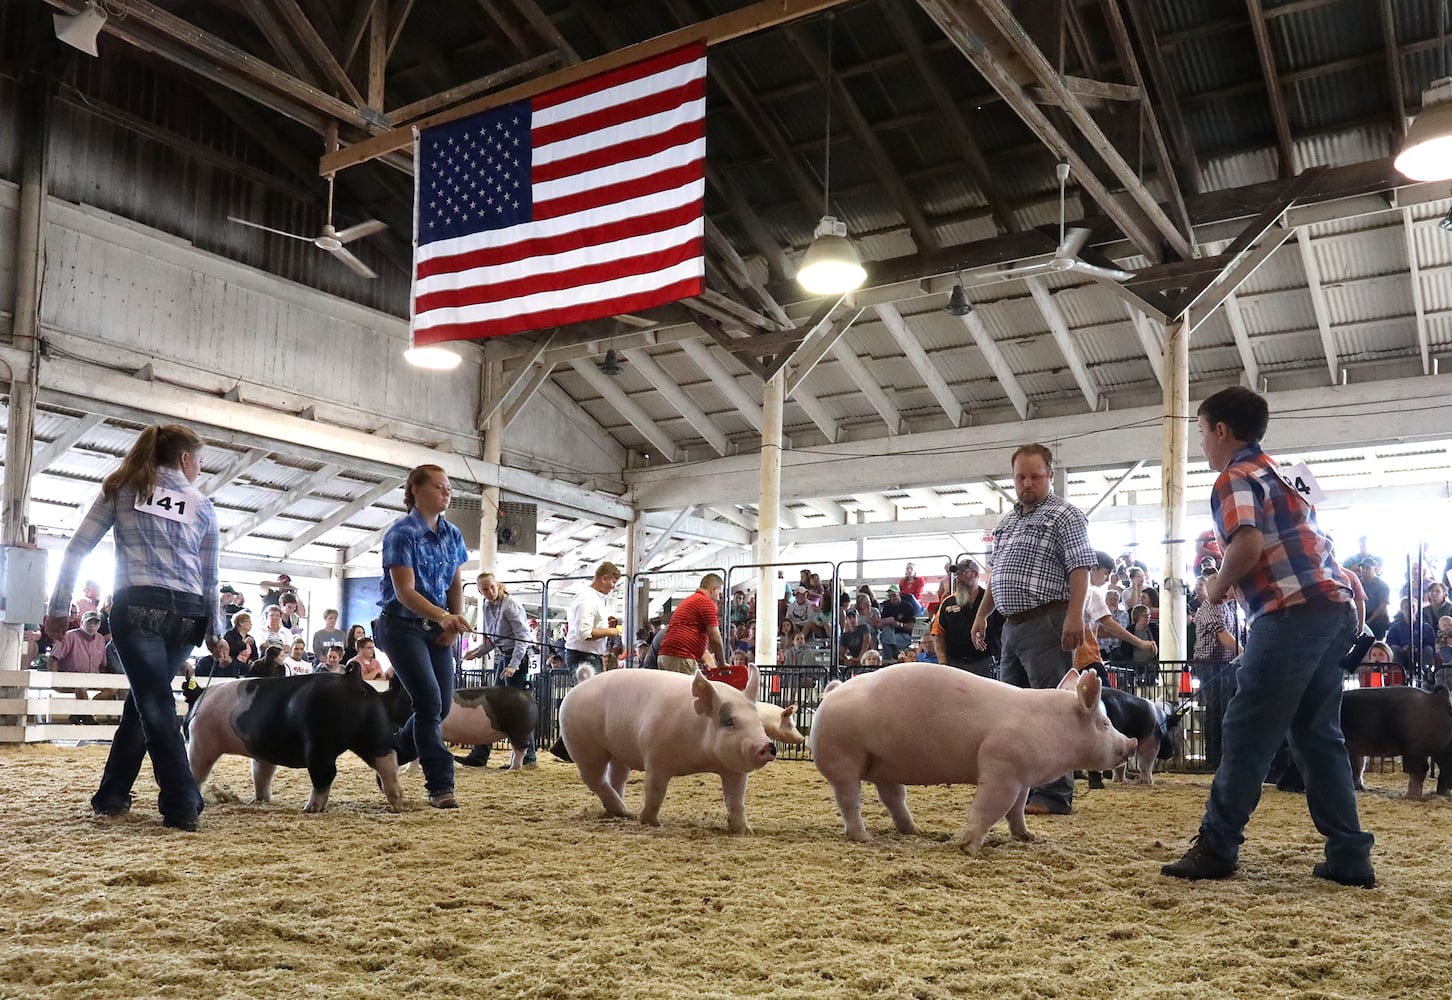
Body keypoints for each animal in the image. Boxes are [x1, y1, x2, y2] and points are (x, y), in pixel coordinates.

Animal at [185, 661, 409, 812]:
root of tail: (351, 679)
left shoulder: (201, 740)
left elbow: (198, 771)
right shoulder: (262, 753)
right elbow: (261, 774)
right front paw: (259, 801)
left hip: (320, 743)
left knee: (325, 774)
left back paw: (310, 808)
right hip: (374, 733)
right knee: (388, 761)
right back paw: (399, 804)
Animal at [557, 670, 784, 835]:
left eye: (759, 721)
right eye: (729, 722)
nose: (767, 746)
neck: (702, 758)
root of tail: (579, 685)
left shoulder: (734, 770)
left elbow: (736, 800)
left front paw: (745, 830)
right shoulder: (655, 758)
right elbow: (655, 791)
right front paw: (650, 822)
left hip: (619, 752)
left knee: (617, 778)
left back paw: (623, 811)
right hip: (584, 746)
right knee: (594, 779)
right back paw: (622, 810)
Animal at [807, 661, 1132, 847]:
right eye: (1104, 723)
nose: (1130, 743)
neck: (1049, 726)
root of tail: (831, 693)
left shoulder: (1022, 778)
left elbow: (1016, 810)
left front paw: (1027, 837)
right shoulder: (1001, 767)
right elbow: (991, 807)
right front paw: (967, 846)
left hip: (885, 764)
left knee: (892, 798)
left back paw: (913, 831)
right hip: (842, 757)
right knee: (850, 800)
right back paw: (865, 837)